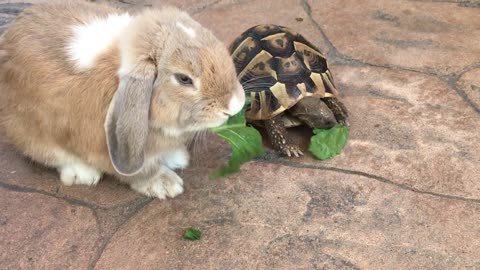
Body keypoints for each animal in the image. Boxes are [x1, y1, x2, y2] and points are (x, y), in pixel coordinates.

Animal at [0, 1, 246, 199]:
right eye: (184, 79)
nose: (234, 105)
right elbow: (140, 172)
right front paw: (165, 185)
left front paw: (177, 158)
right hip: (32, 133)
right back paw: (84, 173)